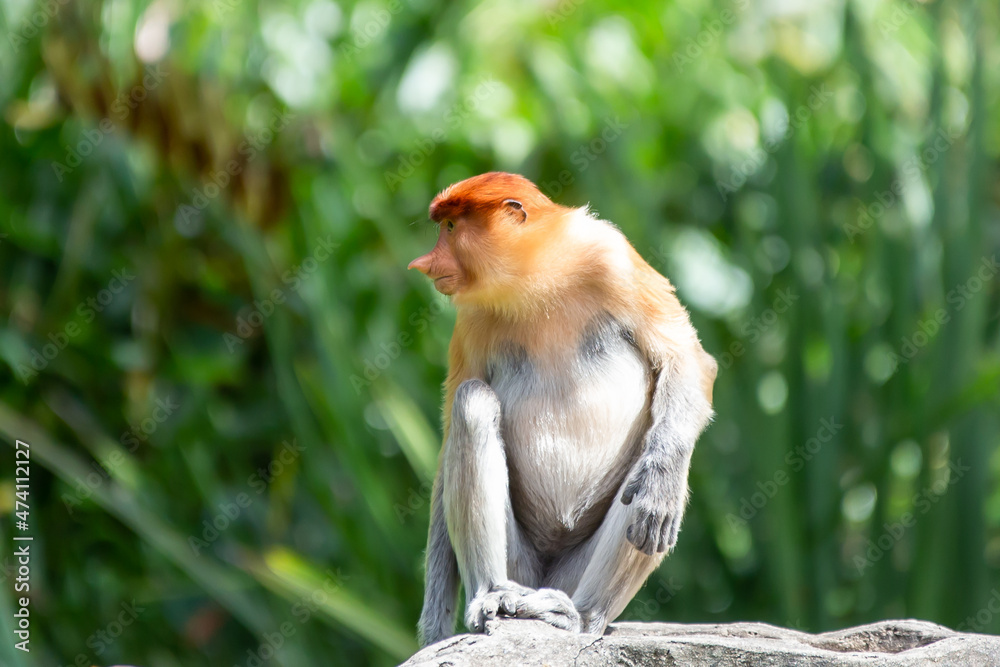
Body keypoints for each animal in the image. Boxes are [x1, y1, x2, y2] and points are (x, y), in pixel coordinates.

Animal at [407, 172, 716, 646]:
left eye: (451, 227)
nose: (425, 263)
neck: (533, 278)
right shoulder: (470, 316)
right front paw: (433, 631)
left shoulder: (611, 258)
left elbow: (687, 359)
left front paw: (660, 485)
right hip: (521, 565)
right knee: (472, 401)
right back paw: (492, 594)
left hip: (572, 572)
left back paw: (579, 616)